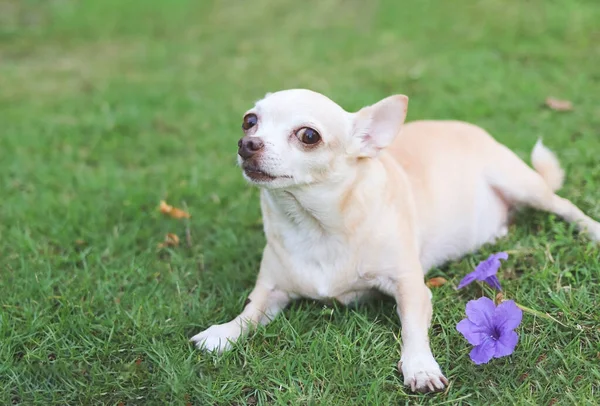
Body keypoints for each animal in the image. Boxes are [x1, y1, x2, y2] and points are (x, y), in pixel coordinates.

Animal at [192, 89, 600, 394]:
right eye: (249, 120)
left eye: (309, 136)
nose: (247, 143)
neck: (315, 227)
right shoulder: (271, 290)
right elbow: (249, 314)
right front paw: (222, 333)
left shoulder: (410, 288)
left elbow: (412, 329)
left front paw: (419, 367)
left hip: (522, 183)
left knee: (563, 205)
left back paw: (591, 229)